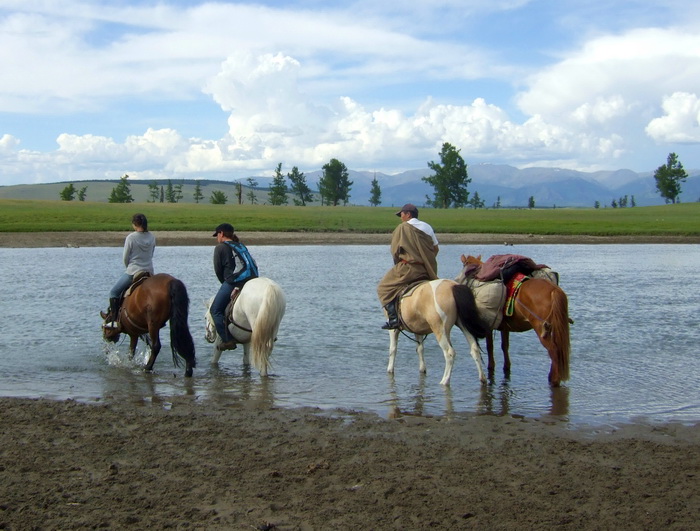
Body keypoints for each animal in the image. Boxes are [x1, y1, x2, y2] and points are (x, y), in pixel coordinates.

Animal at [460, 256, 568, 388]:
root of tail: (553, 290)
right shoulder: (505, 327)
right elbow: (505, 346)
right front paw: (506, 367)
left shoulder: (488, 327)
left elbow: (490, 347)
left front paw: (491, 367)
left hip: (541, 329)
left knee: (553, 351)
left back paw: (554, 380)